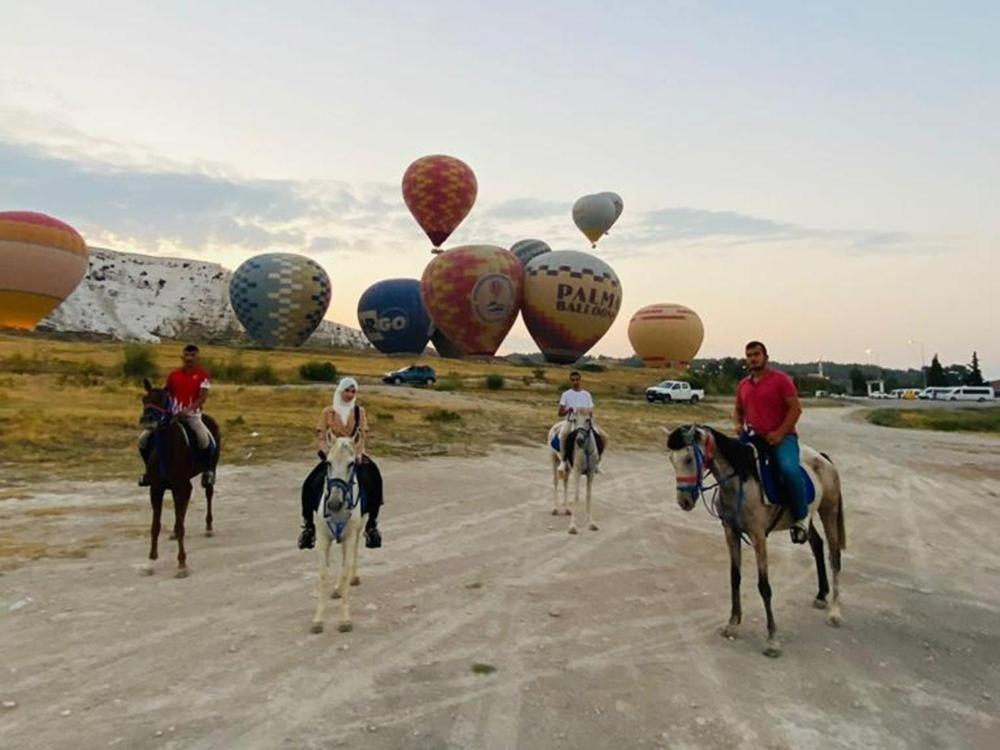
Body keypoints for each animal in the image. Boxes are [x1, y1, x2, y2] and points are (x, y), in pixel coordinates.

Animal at [138, 378, 220, 580]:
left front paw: (182, 564)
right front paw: (150, 562)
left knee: (208, 493)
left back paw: (208, 527)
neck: (167, 450)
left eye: (163, 400)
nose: (148, 420)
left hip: (210, 470)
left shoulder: (181, 487)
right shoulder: (156, 489)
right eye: (144, 399)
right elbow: (155, 526)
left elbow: (181, 523)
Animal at [308, 434, 368, 636]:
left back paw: (350, 580)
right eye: (328, 462)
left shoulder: (349, 537)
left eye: (351, 463)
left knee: (352, 557)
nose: (334, 503)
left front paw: (344, 620)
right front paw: (318, 620)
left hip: (358, 531)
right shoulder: (322, 539)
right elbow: (323, 575)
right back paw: (337, 589)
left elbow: (344, 572)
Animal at [664, 426, 844, 660]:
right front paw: (732, 624)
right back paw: (822, 595)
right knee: (817, 545)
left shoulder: (758, 536)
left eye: (688, 458)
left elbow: (764, 586)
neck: (740, 480)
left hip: (829, 511)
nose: (684, 501)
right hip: (808, 517)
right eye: (671, 460)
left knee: (835, 556)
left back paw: (835, 612)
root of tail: (823, 459)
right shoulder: (731, 532)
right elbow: (735, 578)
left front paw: (772, 640)